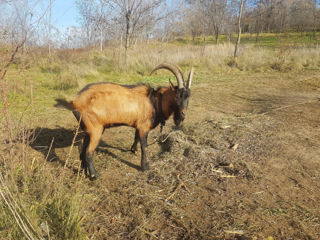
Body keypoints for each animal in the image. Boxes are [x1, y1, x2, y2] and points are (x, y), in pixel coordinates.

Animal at [55, 62, 192, 179]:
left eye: (188, 96)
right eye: (177, 95)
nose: (183, 114)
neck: (155, 102)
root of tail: (76, 102)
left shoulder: (138, 125)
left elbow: (136, 137)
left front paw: (133, 150)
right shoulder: (144, 127)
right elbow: (144, 146)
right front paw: (144, 166)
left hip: (86, 129)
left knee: (81, 149)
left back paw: (83, 171)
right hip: (95, 130)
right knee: (88, 152)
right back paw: (94, 175)